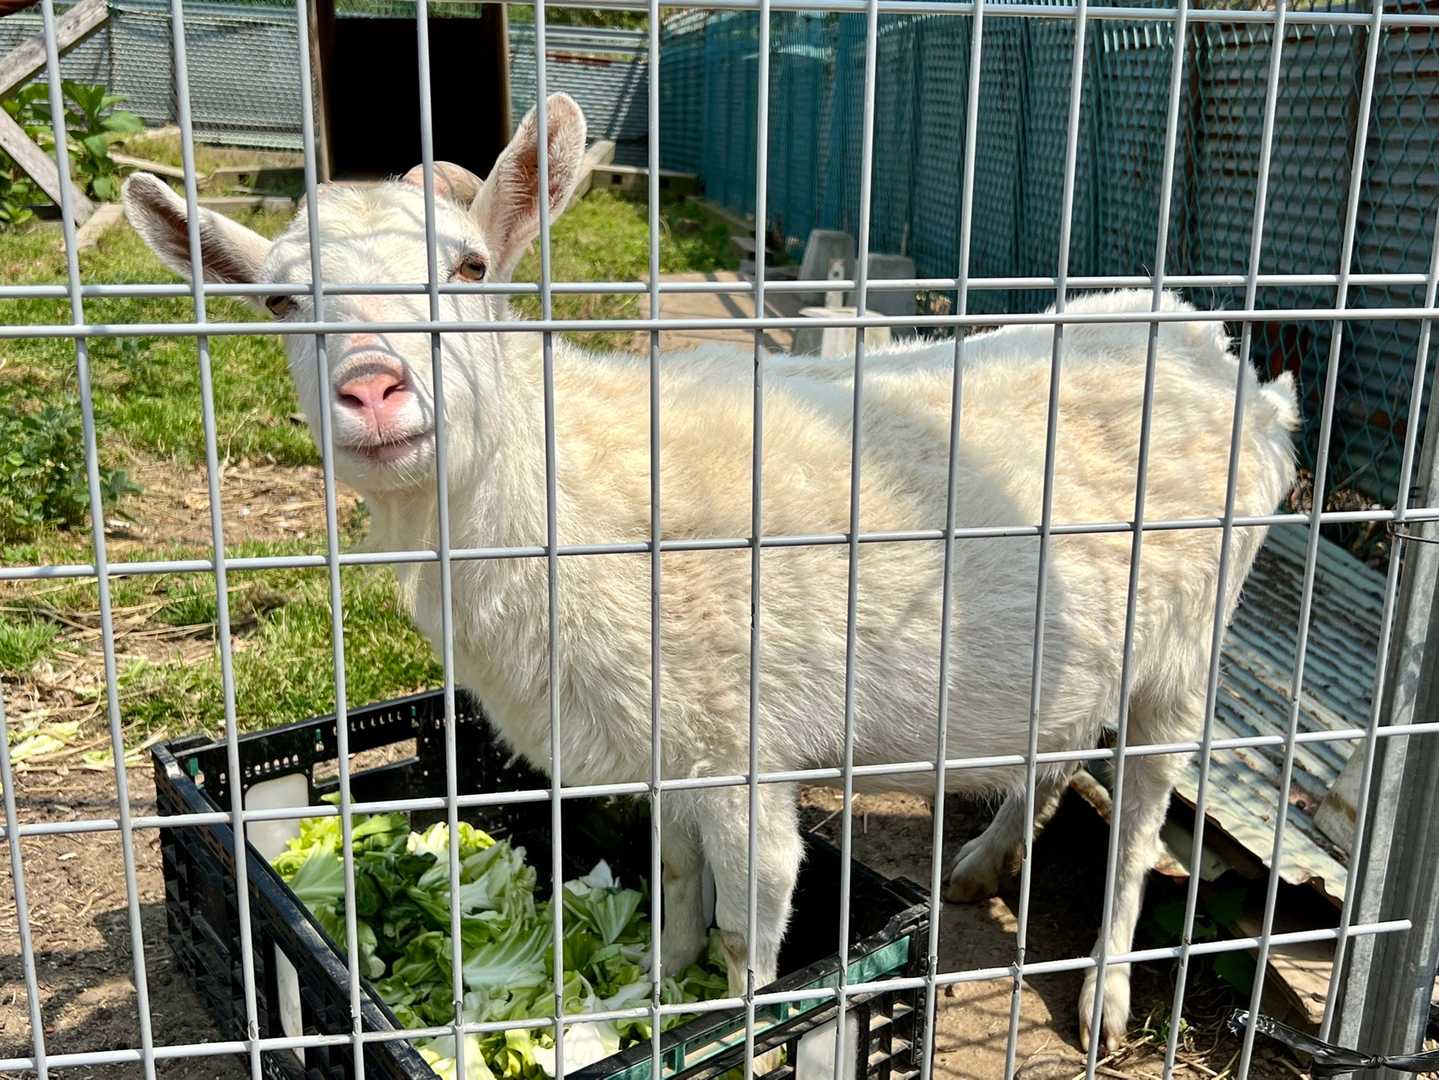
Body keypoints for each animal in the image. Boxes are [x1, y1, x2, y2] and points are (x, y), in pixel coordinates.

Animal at [123, 92, 1299, 1056]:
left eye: (470, 268)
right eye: (279, 305)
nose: (373, 390)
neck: (565, 492)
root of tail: (1216, 350)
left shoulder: (739, 751)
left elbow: (751, 918)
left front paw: (740, 1024)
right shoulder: (666, 749)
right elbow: (675, 880)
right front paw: (647, 986)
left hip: (1184, 654)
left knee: (1138, 820)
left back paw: (1105, 992)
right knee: (1053, 749)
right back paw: (982, 863)